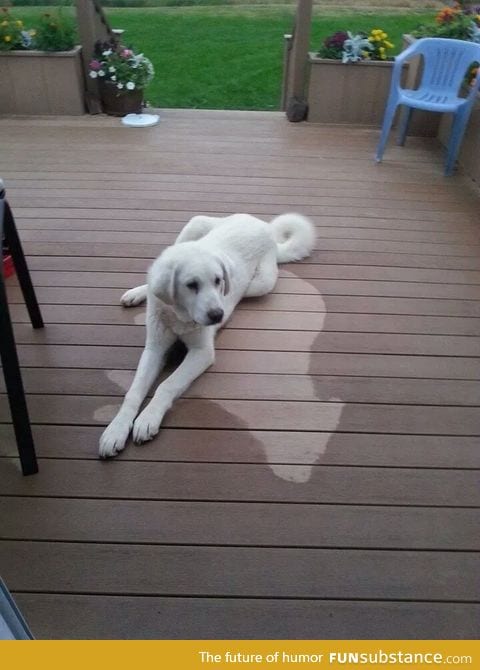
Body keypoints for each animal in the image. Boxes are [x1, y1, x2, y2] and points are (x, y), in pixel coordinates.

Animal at [98, 213, 316, 460]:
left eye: (218, 280)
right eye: (191, 285)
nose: (217, 315)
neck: (178, 315)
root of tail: (264, 225)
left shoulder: (201, 352)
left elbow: (167, 384)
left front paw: (148, 418)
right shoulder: (154, 349)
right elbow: (133, 392)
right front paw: (115, 430)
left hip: (261, 283)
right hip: (195, 225)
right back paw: (136, 293)